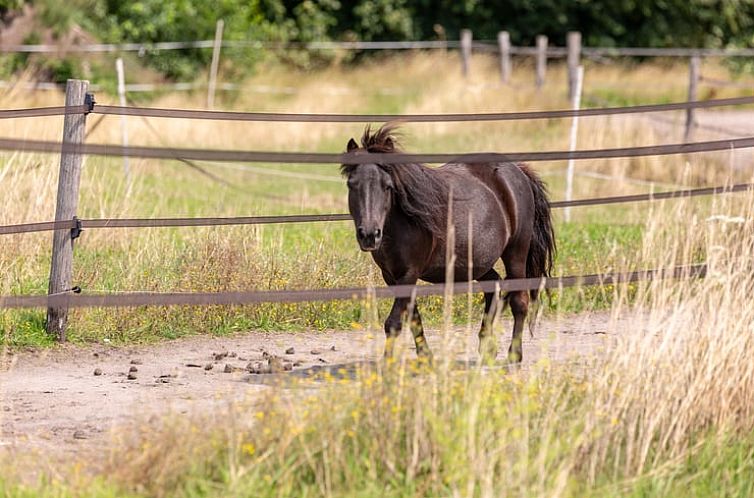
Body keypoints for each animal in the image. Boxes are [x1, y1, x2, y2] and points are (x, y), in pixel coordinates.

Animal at [340, 125, 552, 362]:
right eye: (351, 184)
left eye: (387, 186)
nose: (369, 235)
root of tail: (517, 171)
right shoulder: (391, 277)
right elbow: (413, 319)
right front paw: (426, 358)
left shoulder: (409, 274)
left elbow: (394, 323)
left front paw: (388, 364)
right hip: (476, 264)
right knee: (494, 287)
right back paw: (487, 349)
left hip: (516, 254)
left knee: (519, 302)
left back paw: (514, 356)